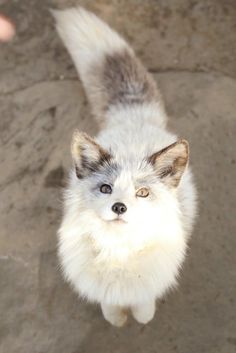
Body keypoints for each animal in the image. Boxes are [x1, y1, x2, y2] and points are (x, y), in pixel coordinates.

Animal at [52, 6, 196, 324]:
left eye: (143, 193)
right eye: (106, 188)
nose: (119, 207)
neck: (119, 254)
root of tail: (132, 116)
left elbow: (143, 307)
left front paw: (143, 314)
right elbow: (110, 306)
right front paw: (115, 316)